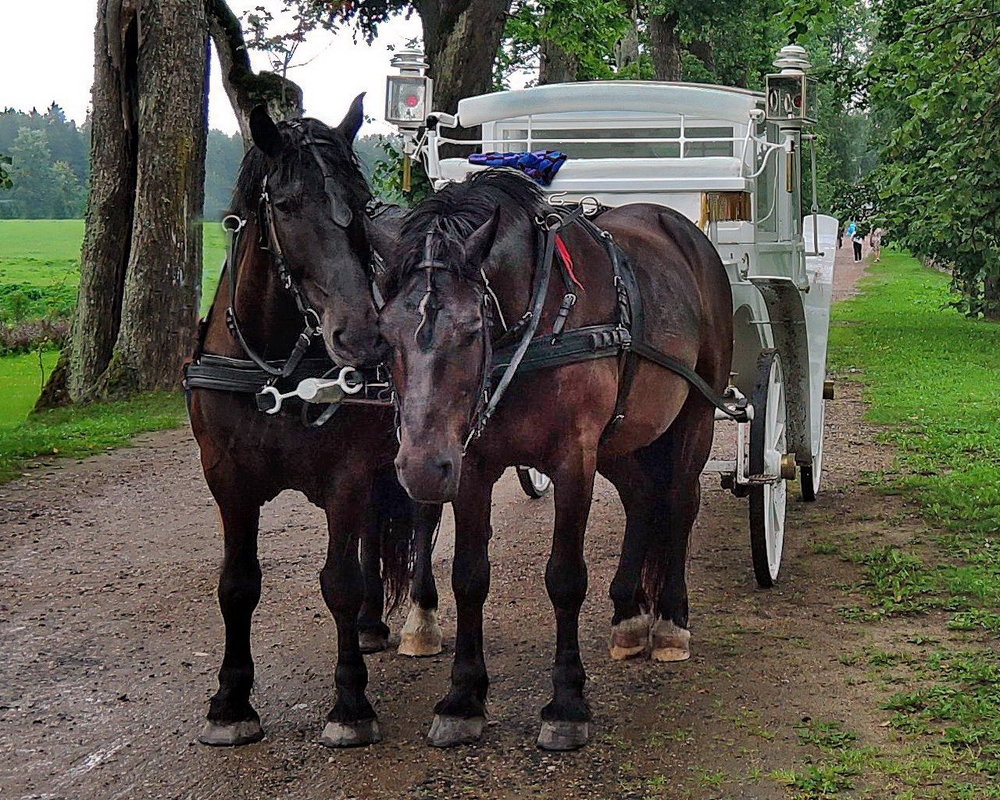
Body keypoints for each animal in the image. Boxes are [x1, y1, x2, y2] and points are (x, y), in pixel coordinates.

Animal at [185, 100, 442, 752]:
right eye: (287, 205)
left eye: (360, 201)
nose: (366, 335)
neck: (278, 369)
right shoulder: (228, 481)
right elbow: (238, 585)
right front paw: (231, 702)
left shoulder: (344, 478)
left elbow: (339, 582)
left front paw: (350, 704)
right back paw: (374, 624)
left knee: (421, 522)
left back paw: (420, 621)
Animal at [378, 169, 732, 752]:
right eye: (385, 334)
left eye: (471, 328)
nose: (423, 469)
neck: (538, 323)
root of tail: (680, 226)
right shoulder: (473, 464)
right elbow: (469, 577)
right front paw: (463, 697)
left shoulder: (572, 460)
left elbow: (565, 578)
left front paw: (566, 703)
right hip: (622, 437)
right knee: (641, 500)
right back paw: (629, 614)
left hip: (694, 415)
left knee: (680, 503)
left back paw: (670, 622)